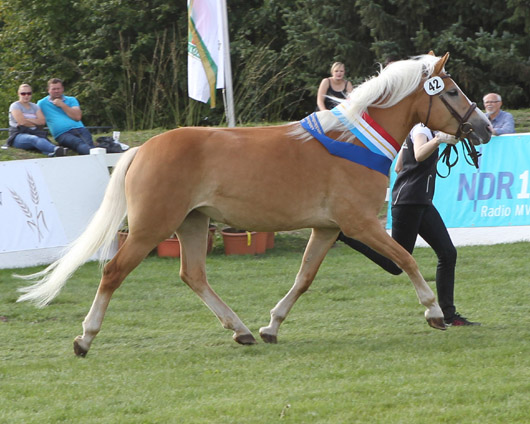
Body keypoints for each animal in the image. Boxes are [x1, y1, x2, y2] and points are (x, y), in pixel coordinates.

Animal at [16, 53, 490, 358]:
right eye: (451, 90)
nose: (484, 126)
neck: (356, 141)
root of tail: (142, 148)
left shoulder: (327, 228)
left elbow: (303, 278)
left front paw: (271, 326)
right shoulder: (360, 224)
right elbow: (406, 260)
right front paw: (433, 312)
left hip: (192, 223)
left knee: (193, 275)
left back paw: (241, 330)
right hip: (153, 226)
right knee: (113, 272)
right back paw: (85, 338)